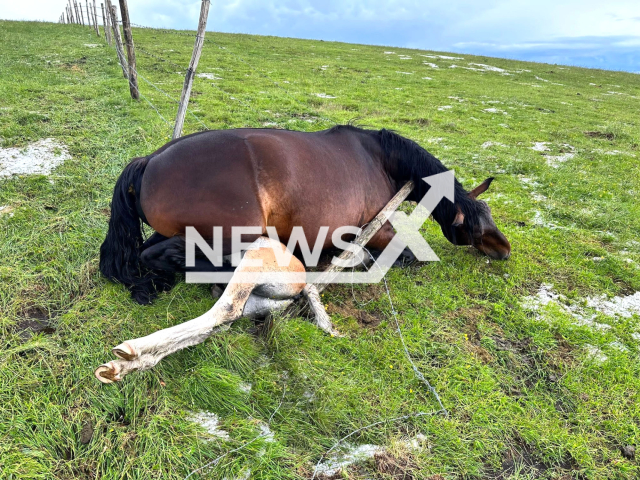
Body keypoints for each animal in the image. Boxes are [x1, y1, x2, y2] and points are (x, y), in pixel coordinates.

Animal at [100, 124, 510, 304]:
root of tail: (149, 161)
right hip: (234, 232)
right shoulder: (376, 231)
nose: (503, 248)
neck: (380, 158)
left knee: (150, 252)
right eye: (475, 227)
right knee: (166, 254)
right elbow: (404, 255)